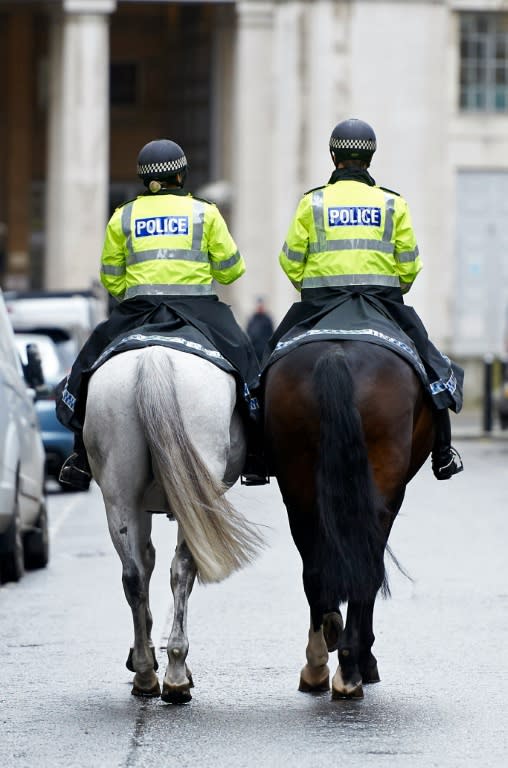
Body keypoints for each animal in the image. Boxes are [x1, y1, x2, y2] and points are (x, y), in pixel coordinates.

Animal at [83, 344, 262, 704]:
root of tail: (154, 360)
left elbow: (147, 561)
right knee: (181, 571)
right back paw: (176, 673)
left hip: (120, 492)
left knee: (135, 575)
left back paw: (146, 674)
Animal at [264, 340, 434, 700]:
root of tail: (337, 354)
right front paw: (363, 659)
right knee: (365, 572)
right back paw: (349, 668)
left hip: (298, 488)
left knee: (315, 573)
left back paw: (321, 658)